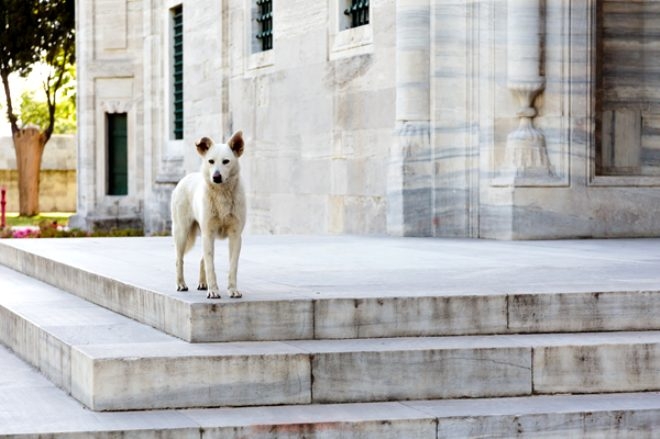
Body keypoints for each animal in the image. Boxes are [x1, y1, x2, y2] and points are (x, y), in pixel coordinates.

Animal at [171, 131, 246, 300]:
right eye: (211, 161)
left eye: (226, 161)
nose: (216, 177)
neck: (222, 195)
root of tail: (184, 179)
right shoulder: (208, 232)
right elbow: (211, 266)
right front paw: (213, 291)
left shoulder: (235, 235)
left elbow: (233, 266)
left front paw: (233, 290)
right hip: (182, 232)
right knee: (179, 260)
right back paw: (181, 284)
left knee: (202, 259)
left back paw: (202, 283)